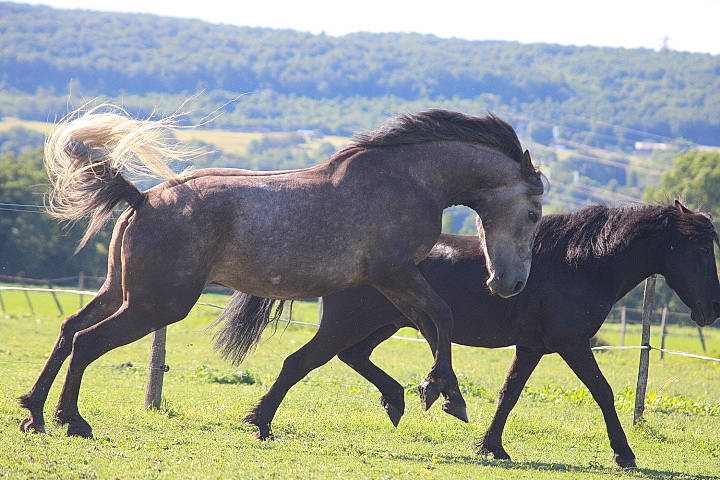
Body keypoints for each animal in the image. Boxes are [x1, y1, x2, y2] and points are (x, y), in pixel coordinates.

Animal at [18, 106, 544, 439]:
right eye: (535, 213)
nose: (510, 284)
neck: (409, 180)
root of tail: (141, 198)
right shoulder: (395, 272)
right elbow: (441, 317)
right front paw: (443, 394)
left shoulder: (390, 281)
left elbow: (429, 324)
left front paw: (431, 392)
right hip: (155, 305)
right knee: (87, 342)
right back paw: (71, 420)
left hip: (120, 292)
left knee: (69, 330)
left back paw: (34, 414)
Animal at [238, 201, 719, 467]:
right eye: (697, 247)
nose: (712, 309)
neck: (580, 263)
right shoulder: (571, 344)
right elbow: (602, 391)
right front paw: (625, 454)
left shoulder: (533, 347)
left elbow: (509, 394)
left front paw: (492, 447)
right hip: (348, 323)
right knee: (299, 363)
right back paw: (260, 425)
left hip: (384, 324)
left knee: (352, 357)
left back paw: (401, 399)